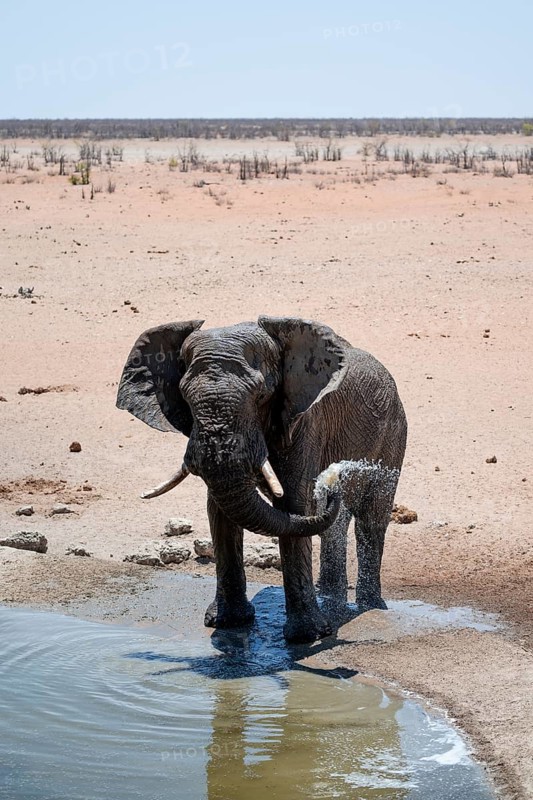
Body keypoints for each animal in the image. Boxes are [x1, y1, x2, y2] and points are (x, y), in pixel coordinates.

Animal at [116, 316, 407, 643]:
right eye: (186, 399)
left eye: (261, 396)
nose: (330, 482)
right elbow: (220, 511)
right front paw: (227, 623)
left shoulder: (305, 421)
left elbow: (295, 504)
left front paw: (307, 636)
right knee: (336, 525)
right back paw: (332, 598)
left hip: (394, 431)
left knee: (371, 519)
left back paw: (370, 606)